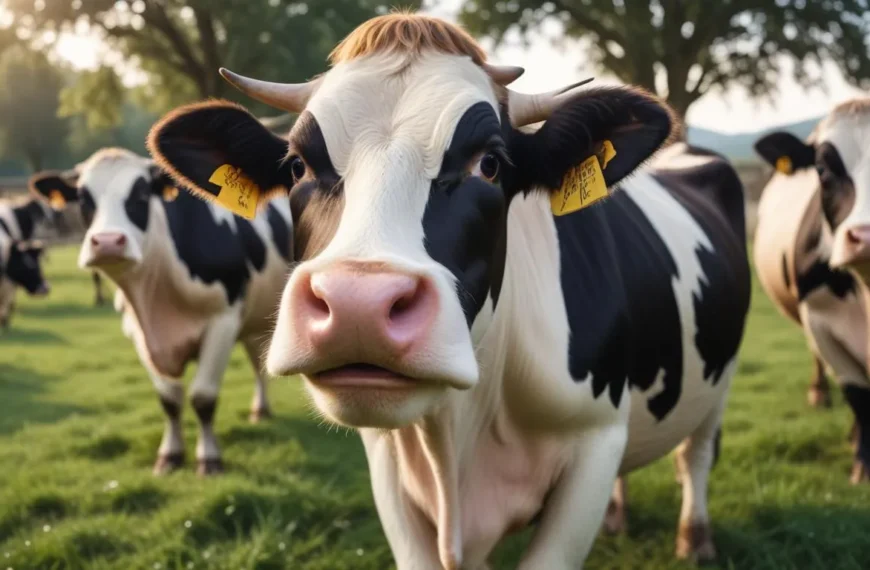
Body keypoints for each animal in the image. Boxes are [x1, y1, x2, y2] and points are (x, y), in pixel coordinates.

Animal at [29, 148, 294, 475]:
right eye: (83, 196)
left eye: (142, 192)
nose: (107, 243)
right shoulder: (138, 331)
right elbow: (169, 400)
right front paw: (170, 454)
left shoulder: (224, 319)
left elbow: (203, 397)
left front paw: (209, 458)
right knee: (258, 362)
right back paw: (261, 409)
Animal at [148, 13, 750, 568]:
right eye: (297, 166)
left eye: (490, 163)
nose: (356, 305)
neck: (458, 441)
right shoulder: (389, 465)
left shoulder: (594, 442)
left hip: (718, 383)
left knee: (697, 455)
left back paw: (696, 540)